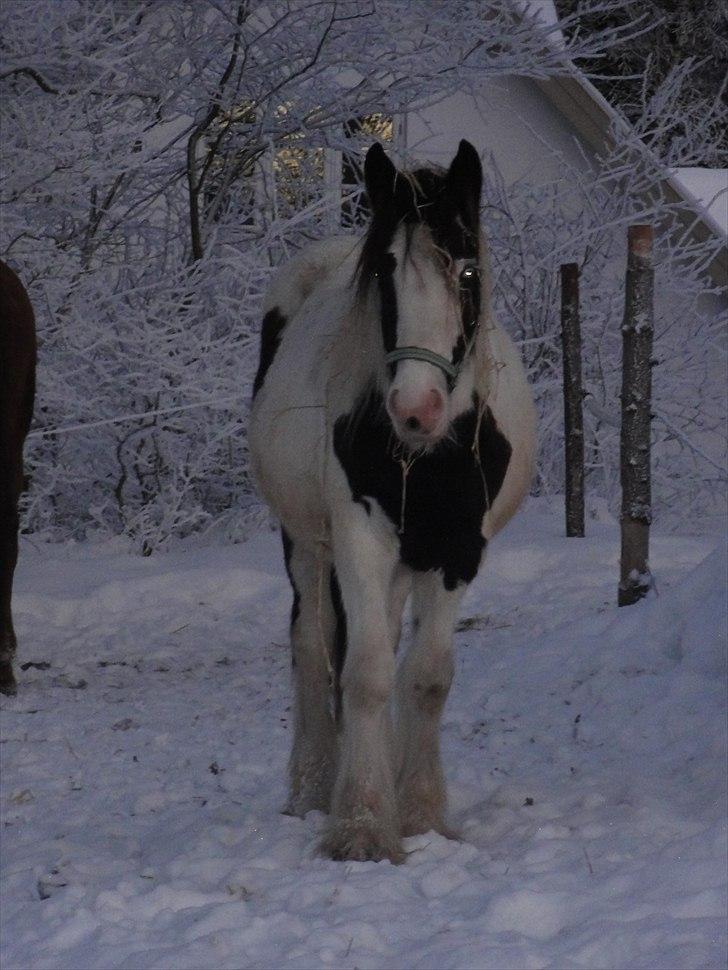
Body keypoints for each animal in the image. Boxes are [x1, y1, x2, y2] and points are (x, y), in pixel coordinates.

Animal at [250, 138, 536, 864]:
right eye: (383, 272)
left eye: (467, 271)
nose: (417, 410)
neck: (432, 459)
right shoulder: (358, 538)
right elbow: (367, 673)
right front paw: (360, 823)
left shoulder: (458, 552)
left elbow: (426, 678)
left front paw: (422, 815)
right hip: (307, 545)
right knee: (314, 647)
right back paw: (315, 787)